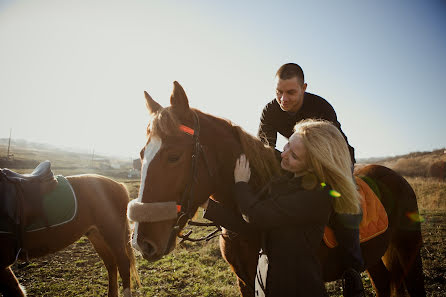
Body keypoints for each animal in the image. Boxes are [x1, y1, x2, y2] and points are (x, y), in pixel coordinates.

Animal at [128, 81, 426, 296]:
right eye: (142, 154)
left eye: (174, 156)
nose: (142, 242)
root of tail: (395, 176)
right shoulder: (245, 282)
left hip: (408, 253)